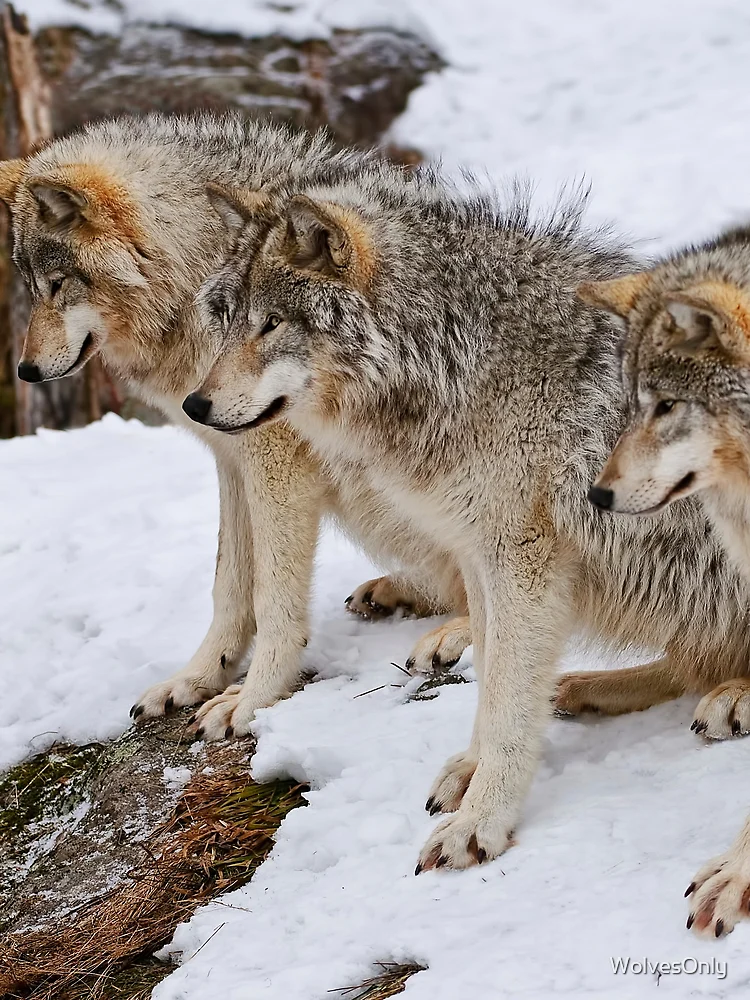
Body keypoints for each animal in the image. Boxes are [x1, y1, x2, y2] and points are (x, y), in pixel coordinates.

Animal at [0, 113, 470, 742]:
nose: (24, 371)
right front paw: (197, 679)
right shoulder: (232, 460)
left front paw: (251, 701)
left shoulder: (276, 464)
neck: (193, 273)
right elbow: (227, 586)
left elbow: (271, 597)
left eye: (58, 283)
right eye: (31, 286)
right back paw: (394, 591)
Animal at [183, 174, 750, 871]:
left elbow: (504, 699)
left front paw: (481, 823)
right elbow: (491, 684)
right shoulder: (479, 554)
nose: (195, 404)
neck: (450, 357)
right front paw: (470, 775)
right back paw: (586, 688)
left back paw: (731, 699)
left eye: (272, 324)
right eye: (226, 319)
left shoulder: (521, 563)